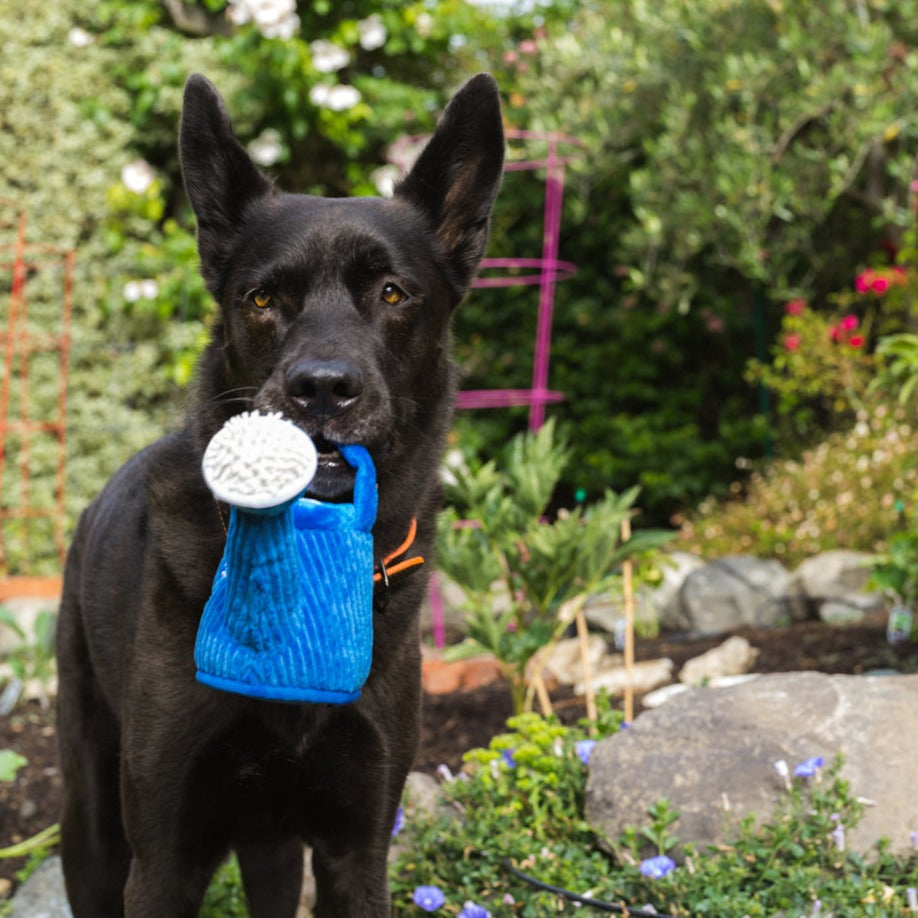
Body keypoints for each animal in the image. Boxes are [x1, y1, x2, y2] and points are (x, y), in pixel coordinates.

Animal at [57, 73, 504, 918]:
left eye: (392, 293)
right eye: (263, 299)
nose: (321, 389)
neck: (304, 550)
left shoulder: (356, 850)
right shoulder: (162, 862)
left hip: (269, 845)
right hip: (90, 824)